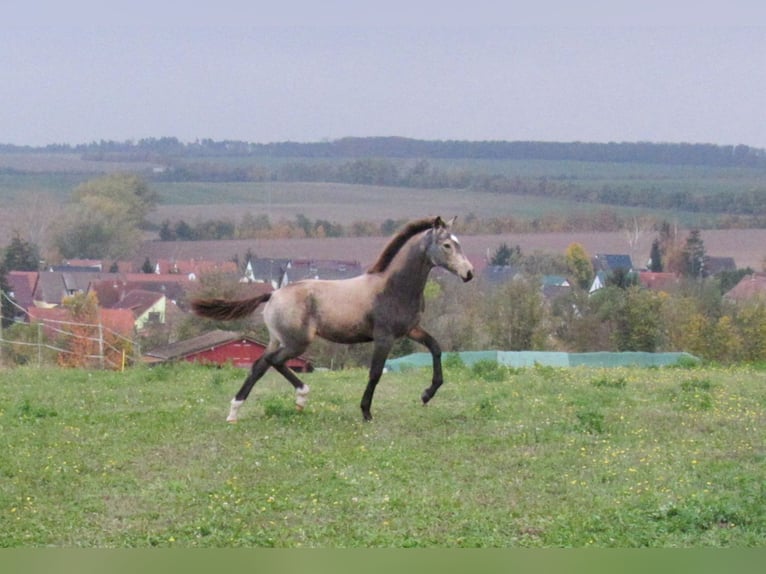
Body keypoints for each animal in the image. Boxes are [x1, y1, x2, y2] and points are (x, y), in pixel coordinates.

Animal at [191, 216, 474, 424]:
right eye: (447, 245)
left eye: (458, 243)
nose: (469, 273)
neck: (393, 288)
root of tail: (273, 293)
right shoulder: (384, 337)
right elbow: (375, 373)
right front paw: (366, 412)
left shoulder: (411, 330)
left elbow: (436, 348)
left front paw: (427, 395)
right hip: (296, 343)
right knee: (274, 362)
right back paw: (299, 397)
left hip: (278, 340)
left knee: (260, 365)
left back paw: (236, 411)